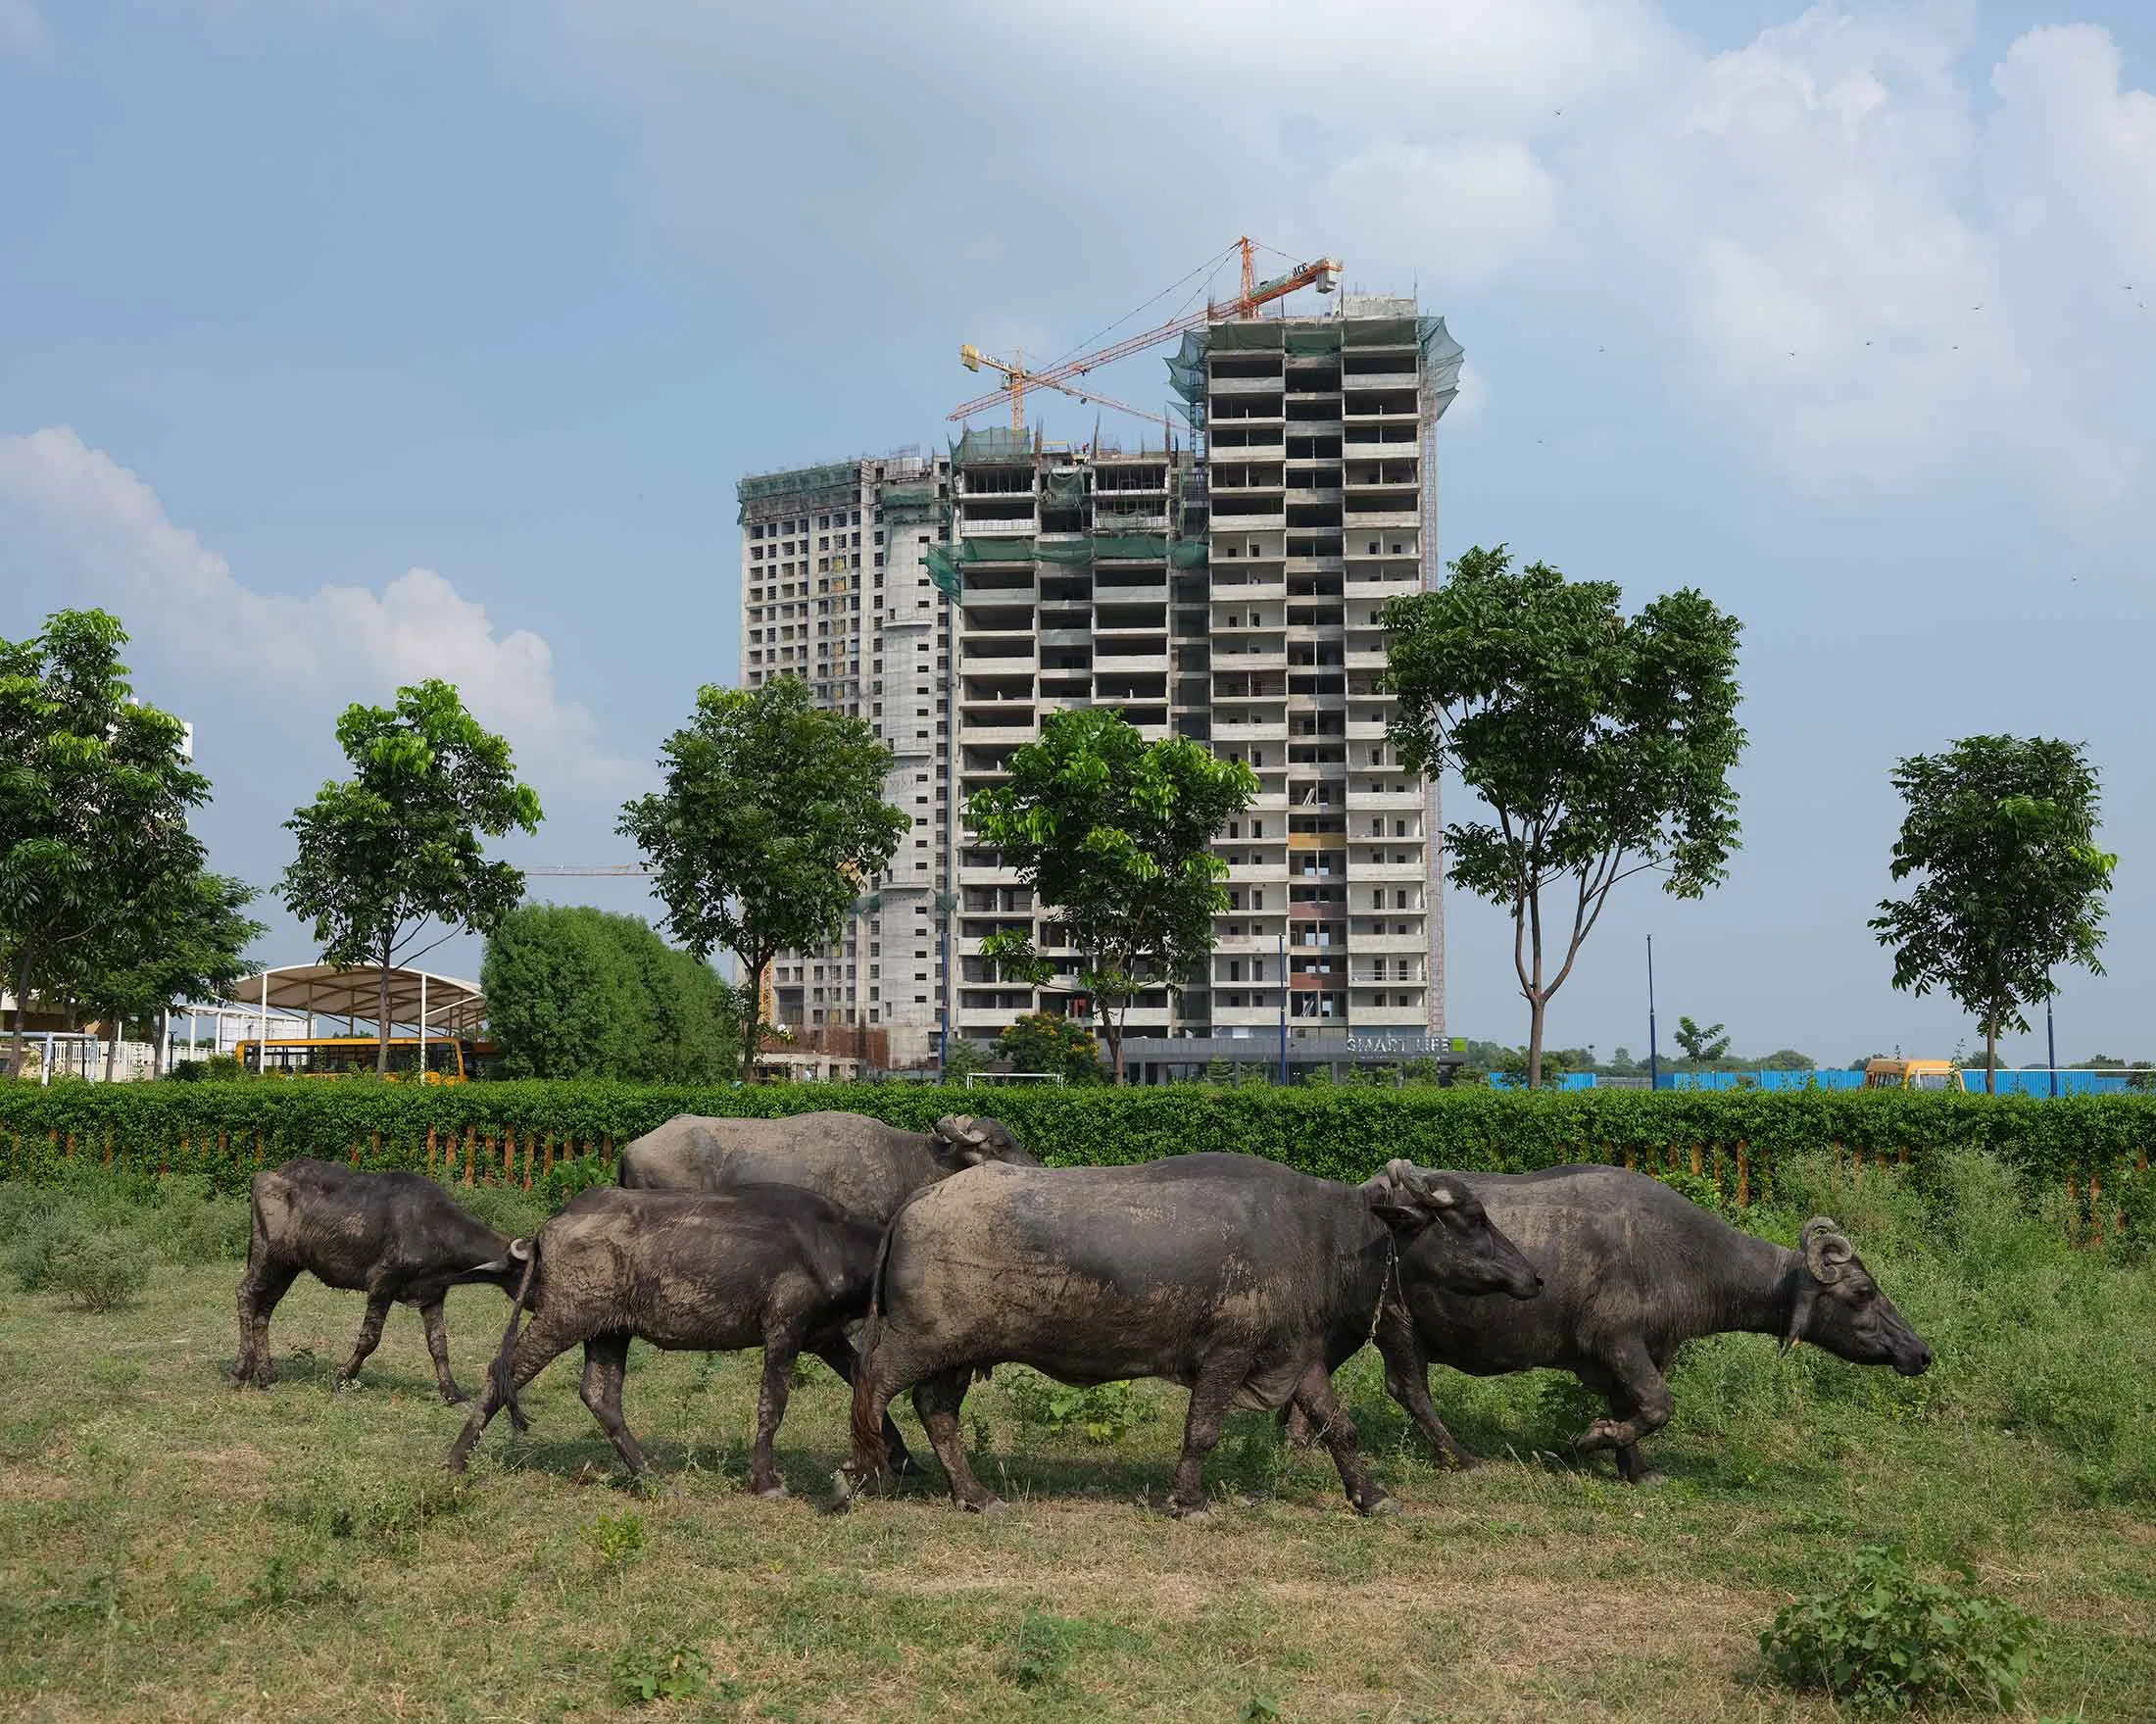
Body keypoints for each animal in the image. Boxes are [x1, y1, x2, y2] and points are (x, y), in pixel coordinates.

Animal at [232, 1158, 528, 1420]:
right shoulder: (382, 1284)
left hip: (287, 1267)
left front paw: (454, 1394)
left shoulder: (432, 1296)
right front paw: (342, 1378)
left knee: (264, 1311)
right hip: (267, 1256)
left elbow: (439, 1345)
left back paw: (267, 1376)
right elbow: (370, 1339)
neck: (432, 1227)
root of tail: (269, 1175)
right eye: (530, 1270)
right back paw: (241, 1370)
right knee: (245, 1294)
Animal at [445, 1184, 915, 1496]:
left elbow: (864, 1384)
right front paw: (766, 1481)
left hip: (609, 1331)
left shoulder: (824, 1338)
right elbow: (772, 1405)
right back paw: (455, 1460)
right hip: (562, 1319)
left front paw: (901, 1457)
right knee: (504, 1372)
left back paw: (652, 1478)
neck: (830, 1242)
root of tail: (550, 1227)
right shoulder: (785, 1330)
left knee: (599, 1395)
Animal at [838, 1154, 1541, 1520]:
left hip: (960, 1353)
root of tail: (917, 1201)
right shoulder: (1226, 1356)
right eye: (1472, 1219)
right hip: (920, 1340)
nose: (1533, 1276)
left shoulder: (1298, 1359)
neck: (1321, 1236)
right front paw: (1188, 1499)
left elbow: (1339, 1427)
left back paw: (976, 1495)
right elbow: (1202, 1431)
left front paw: (1370, 1496)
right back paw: (859, 1472)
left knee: (936, 1411)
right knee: (871, 1388)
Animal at [1363, 1163, 1935, 1482]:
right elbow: (1659, 1405)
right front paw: (1595, 1438)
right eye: (1863, 1293)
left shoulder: (1644, 1351)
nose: (1921, 1352)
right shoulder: (1616, 1342)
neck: (1682, 1257)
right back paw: (1460, 1457)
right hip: (1398, 1326)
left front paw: (1634, 1469)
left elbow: (1635, 1406)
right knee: (1411, 1390)